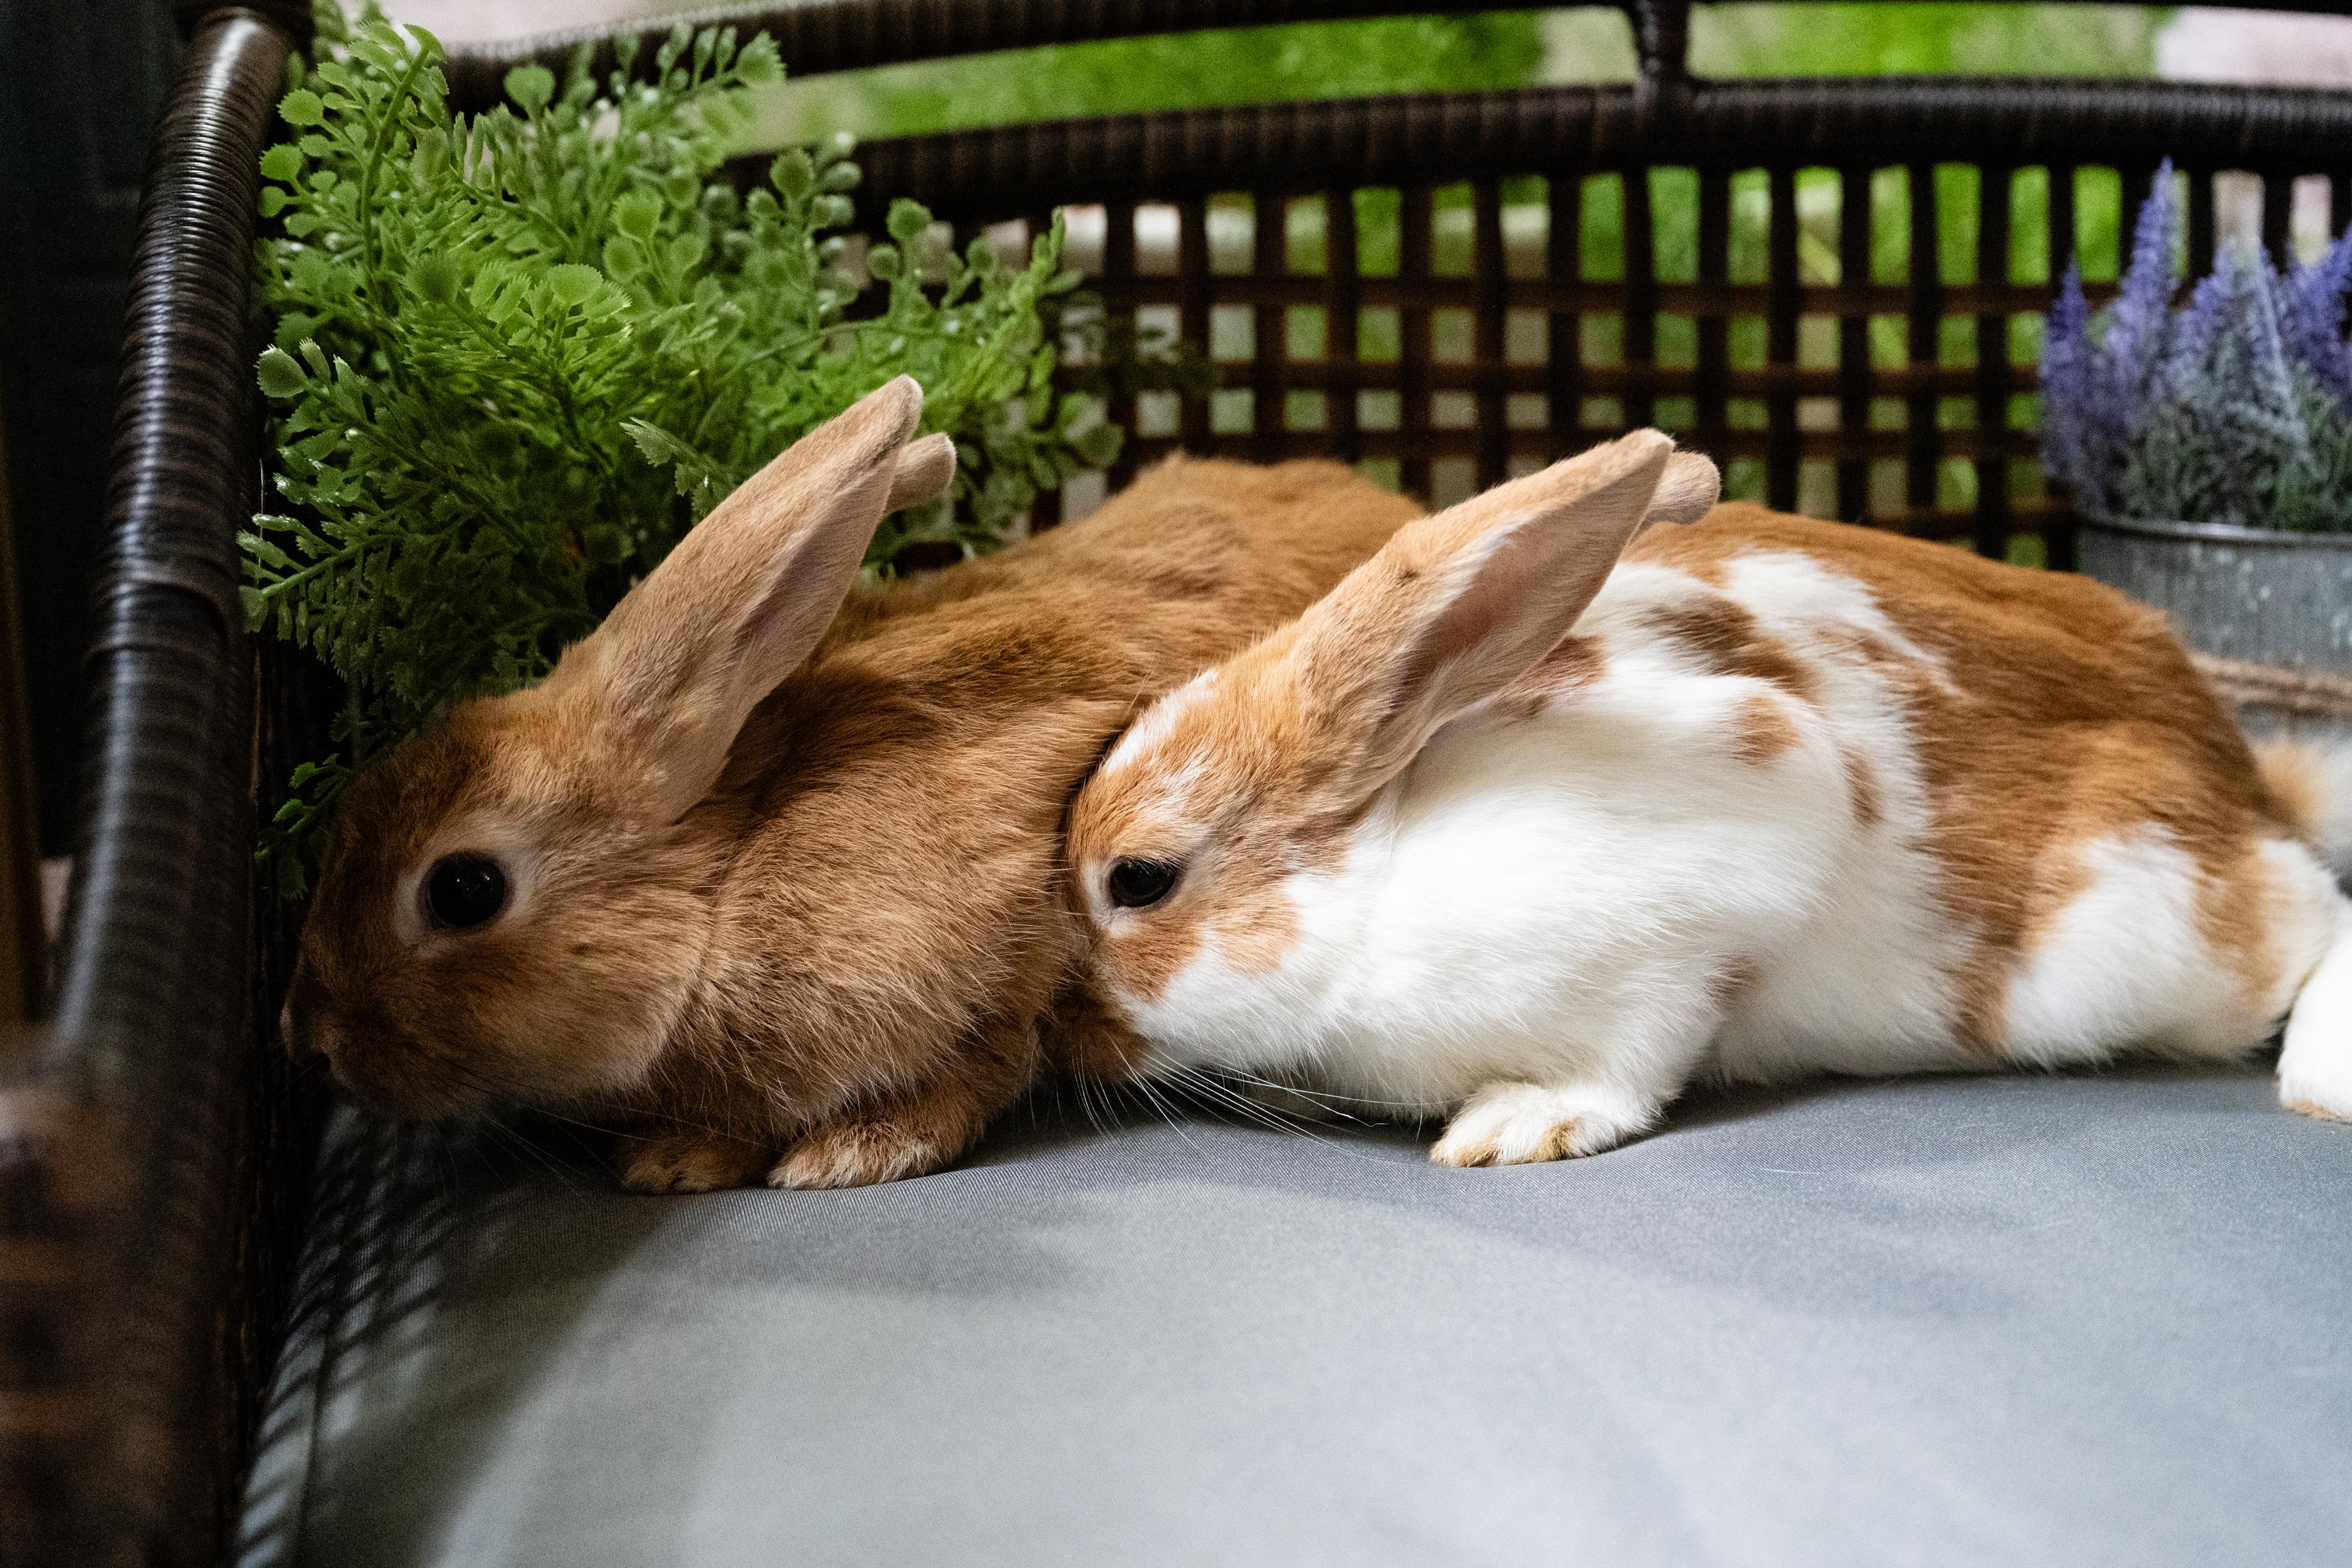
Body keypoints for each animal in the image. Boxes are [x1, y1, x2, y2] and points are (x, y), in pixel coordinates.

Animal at [282, 375, 1434, 1191]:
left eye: (463, 888)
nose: (311, 1045)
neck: (724, 875)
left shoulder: (1006, 936)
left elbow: (979, 1065)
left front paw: (843, 1155)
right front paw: (684, 1158)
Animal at [1056, 429, 2352, 1164]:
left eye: (1140, 881)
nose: (1073, 1034)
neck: (1380, 874)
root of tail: (2240, 782)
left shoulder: (1715, 876)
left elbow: (1637, 1055)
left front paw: (1517, 1125)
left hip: (2151, 946)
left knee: (2317, 919)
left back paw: (2320, 1080)